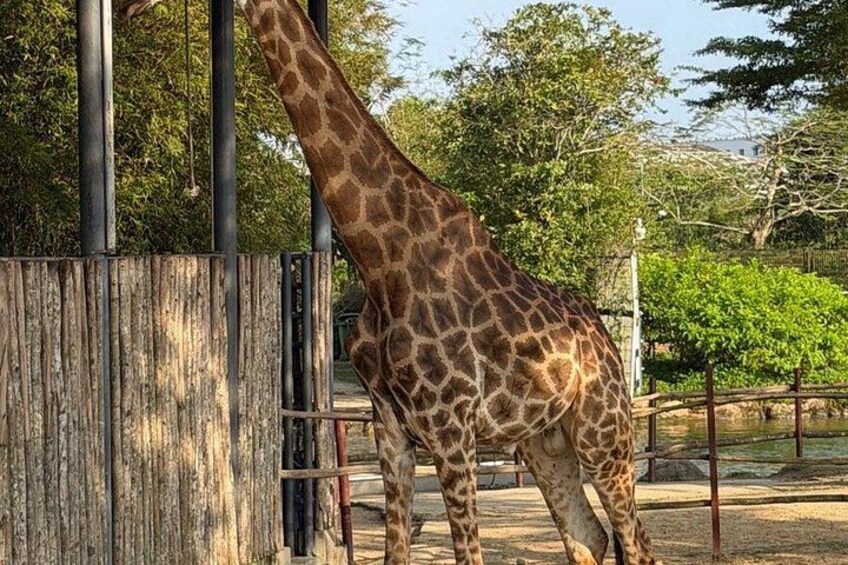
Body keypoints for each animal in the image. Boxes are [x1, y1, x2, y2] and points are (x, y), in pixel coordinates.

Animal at [121, 0, 657, 563]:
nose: (124, 11)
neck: (381, 262)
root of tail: (607, 343)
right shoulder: (391, 428)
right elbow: (394, 551)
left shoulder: (450, 428)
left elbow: (468, 554)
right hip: (544, 439)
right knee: (590, 535)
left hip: (602, 432)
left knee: (636, 540)